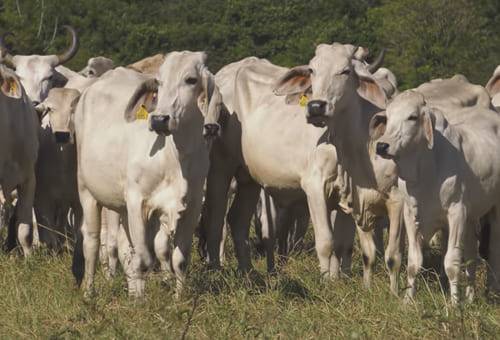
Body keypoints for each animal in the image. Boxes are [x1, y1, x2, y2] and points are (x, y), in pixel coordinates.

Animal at [33, 88, 81, 250]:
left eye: (73, 109)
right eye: (50, 109)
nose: (62, 135)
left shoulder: (77, 201)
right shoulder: (43, 199)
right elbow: (50, 234)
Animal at [73, 51, 222, 298]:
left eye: (191, 80)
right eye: (159, 83)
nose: (159, 120)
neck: (176, 158)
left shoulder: (192, 207)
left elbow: (179, 260)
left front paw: (177, 298)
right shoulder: (138, 202)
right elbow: (143, 259)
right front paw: (140, 301)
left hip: (122, 207)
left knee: (123, 246)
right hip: (87, 191)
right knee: (92, 243)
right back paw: (88, 292)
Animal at [376, 90, 500, 302]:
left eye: (412, 117)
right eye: (388, 116)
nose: (382, 146)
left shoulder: (456, 212)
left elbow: (451, 262)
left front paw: (454, 304)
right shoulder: (411, 214)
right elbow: (414, 261)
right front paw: (408, 300)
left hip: (494, 210)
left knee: (493, 251)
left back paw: (490, 292)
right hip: (472, 217)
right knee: (472, 255)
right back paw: (471, 297)